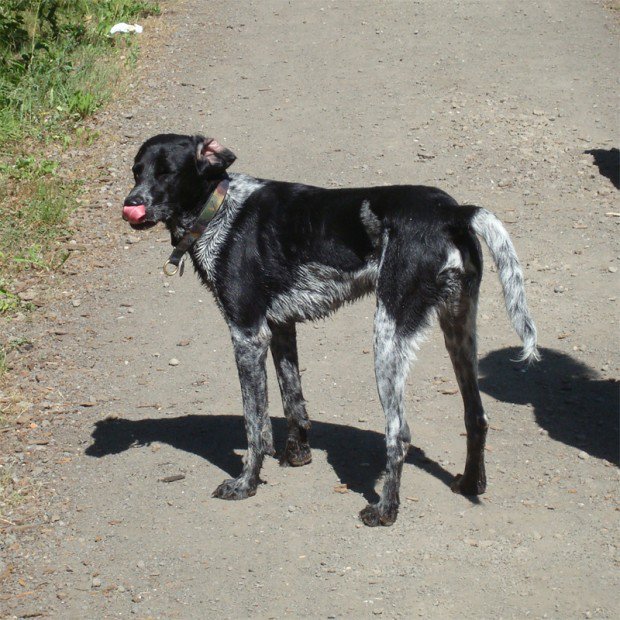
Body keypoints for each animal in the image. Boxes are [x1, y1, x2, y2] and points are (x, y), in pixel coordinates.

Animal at [121, 133, 536, 524]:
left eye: (167, 173)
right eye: (136, 172)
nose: (131, 203)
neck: (221, 209)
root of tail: (453, 212)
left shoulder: (247, 335)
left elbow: (255, 424)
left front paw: (246, 483)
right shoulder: (280, 328)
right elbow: (293, 403)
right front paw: (298, 454)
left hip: (387, 338)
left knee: (399, 434)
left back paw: (385, 510)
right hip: (458, 333)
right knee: (476, 416)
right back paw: (470, 483)